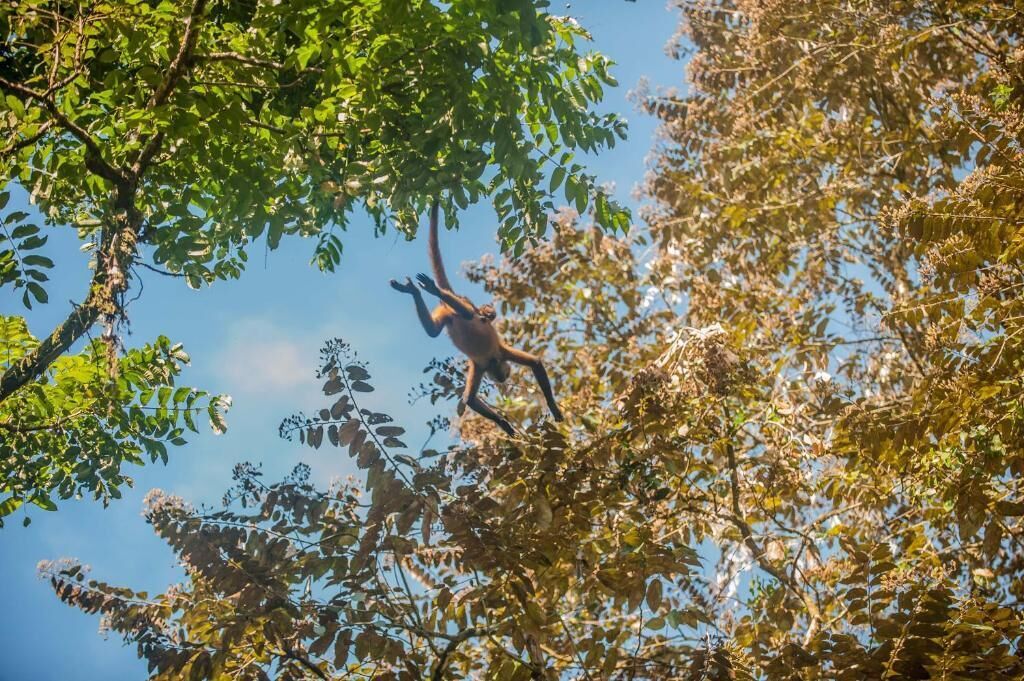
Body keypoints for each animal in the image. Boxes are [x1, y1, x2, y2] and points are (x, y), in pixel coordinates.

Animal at [390, 201, 563, 436]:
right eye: (502, 374)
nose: (502, 377)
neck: (491, 359)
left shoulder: (485, 362)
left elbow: (470, 400)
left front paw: (504, 424)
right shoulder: (494, 355)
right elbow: (535, 363)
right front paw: (550, 407)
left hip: (444, 314)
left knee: (434, 330)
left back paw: (414, 291)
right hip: (468, 310)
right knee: (469, 314)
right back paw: (435, 290)